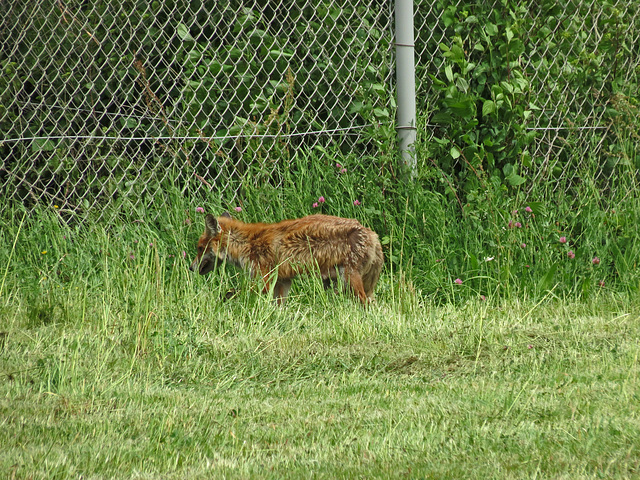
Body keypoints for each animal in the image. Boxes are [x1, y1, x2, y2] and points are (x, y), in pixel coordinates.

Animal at [188, 213, 382, 306]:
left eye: (199, 248)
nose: (190, 268)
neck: (246, 244)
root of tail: (371, 233)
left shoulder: (263, 281)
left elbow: (231, 293)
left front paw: (220, 303)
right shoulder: (283, 282)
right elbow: (279, 307)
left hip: (350, 280)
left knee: (367, 303)